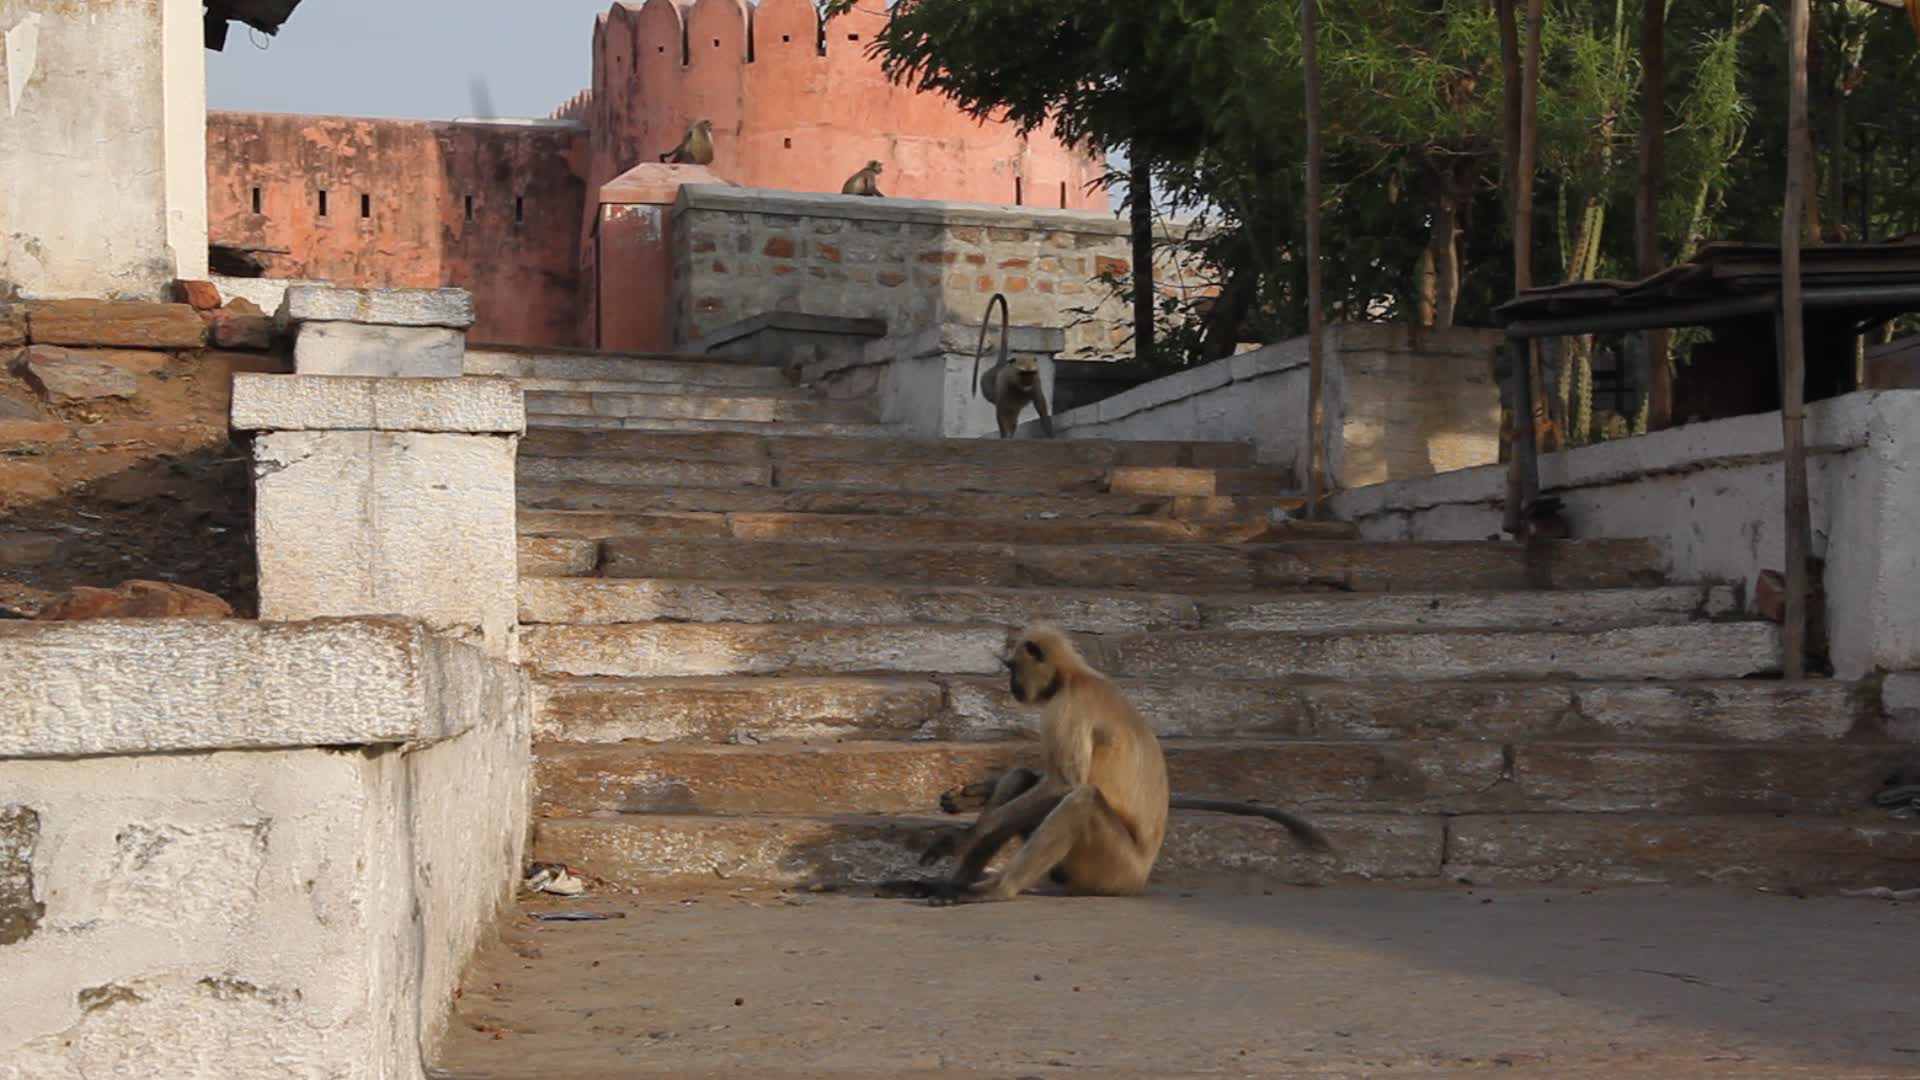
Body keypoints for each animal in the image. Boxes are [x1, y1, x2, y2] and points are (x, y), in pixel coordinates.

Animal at [874, 622, 1330, 906]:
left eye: (1014, 668)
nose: (1011, 685)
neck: (1076, 677)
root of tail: (1140, 877)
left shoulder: (1067, 707)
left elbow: (1064, 784)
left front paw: (961, 836)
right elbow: (1037, 778)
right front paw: (970, 795)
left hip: (1114, 868)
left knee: (1081, 799)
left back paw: (994, 890)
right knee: (1024, 780)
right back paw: (945, 884)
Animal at [970, 292, 1055, 439]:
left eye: (1030, 374)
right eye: (1023, 373)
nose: (1027, 382)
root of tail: (999, 366)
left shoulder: (1036, 383)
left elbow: (1041, 407)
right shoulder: (1005, 386)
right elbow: (1001, 412)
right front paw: (1005, 436)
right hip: (986, 385)